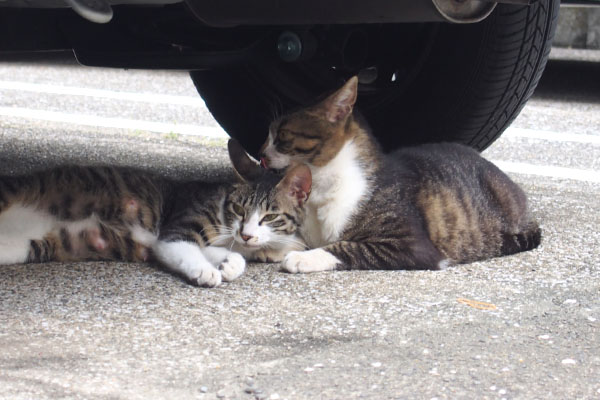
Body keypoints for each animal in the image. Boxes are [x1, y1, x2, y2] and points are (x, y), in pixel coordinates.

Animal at [0, 139, 310, 286]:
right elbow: (187, 251)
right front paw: (205, 271)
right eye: (238, 209)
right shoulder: (176, 231)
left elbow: (227, 253)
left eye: (269, 217)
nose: (246, 234)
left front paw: (229, 263)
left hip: (26, 246)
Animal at [260, 76, 540, 274]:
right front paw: (274, 245)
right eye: (268, 133)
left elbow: (346, 246)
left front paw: (302, 257)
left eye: (281, 136)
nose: (261, 154)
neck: (321, 186)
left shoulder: (414, 246)